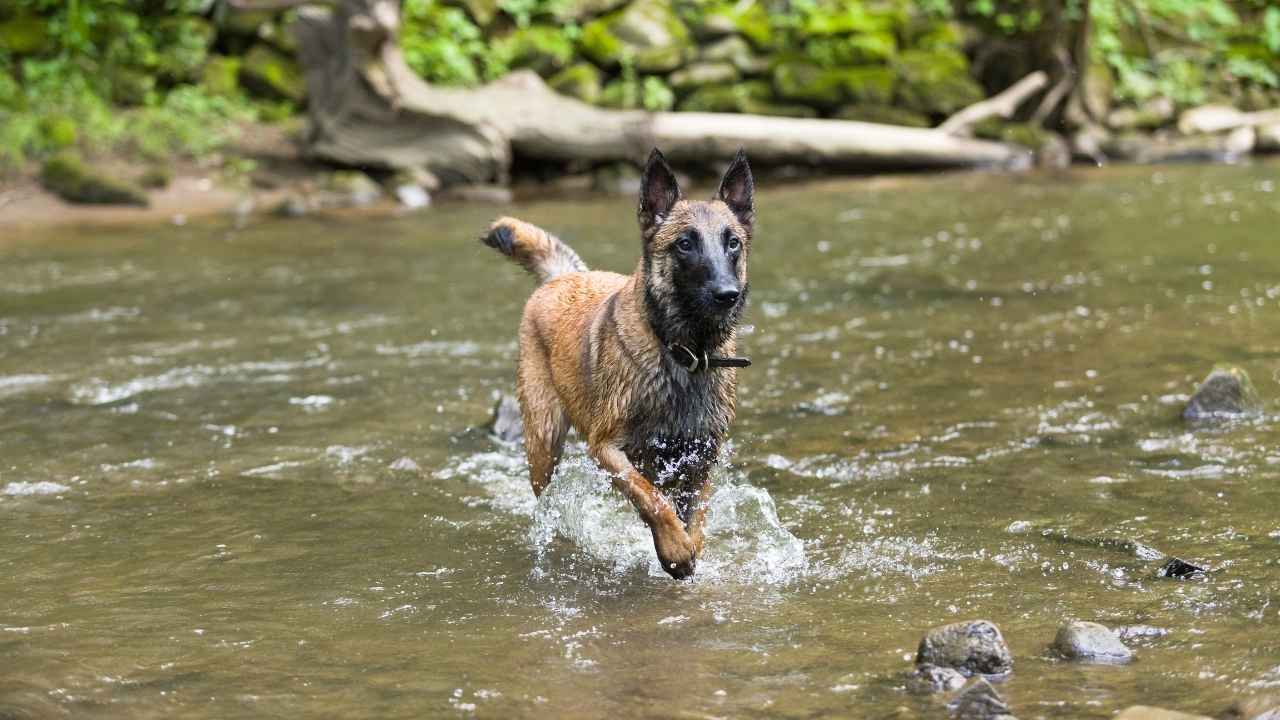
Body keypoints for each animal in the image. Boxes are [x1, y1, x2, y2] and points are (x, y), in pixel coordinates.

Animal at [483, 147, 752, 576]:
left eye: (733, 244)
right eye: (684, 244)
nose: (728, 294)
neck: (683, 353)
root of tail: (561, 277)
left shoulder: (702, 457)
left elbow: (696, 516)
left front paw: (687, 544)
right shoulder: (606, 447)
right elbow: (649, 497)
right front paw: (674, 549)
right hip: (543, 440)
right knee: (546, 497)